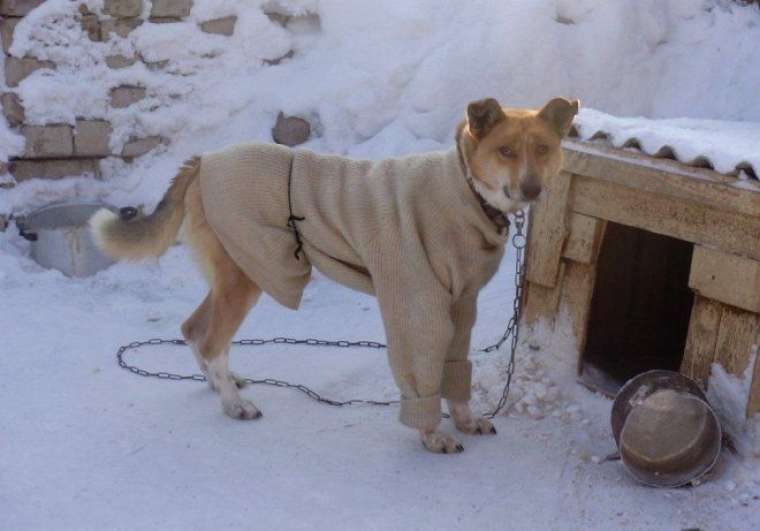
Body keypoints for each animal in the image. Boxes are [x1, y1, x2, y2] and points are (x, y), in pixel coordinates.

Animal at [90, 97, 576, 456]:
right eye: (506, 150)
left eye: (543, 149)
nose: (533, 189)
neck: (465, 190)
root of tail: (205, 159)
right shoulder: (417, 309)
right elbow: (424, 377)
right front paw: (432, 434)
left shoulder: (462, 305)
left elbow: (456, 373)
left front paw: (465, 419)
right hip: (248, 275)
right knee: (211, 340)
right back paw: (234, 404)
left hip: (235, 273)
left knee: (194, 329)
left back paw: (217, 383)